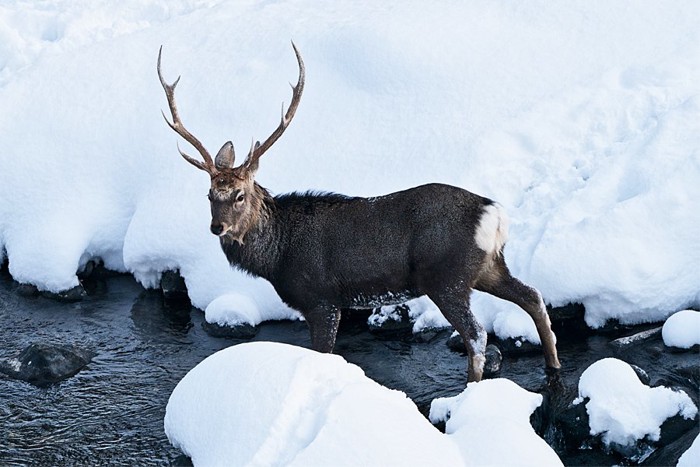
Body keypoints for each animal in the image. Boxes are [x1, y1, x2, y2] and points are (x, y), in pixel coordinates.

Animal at [156, 43, 560, 384]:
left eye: (239, 195)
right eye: (210, 194)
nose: (217, 226)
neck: (277, 255)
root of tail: (494, 214)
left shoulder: (321, 299)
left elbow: (322, 352)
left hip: (447, 276)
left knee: (476, 334)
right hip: (487, 266)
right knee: (532, 296)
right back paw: (553, 366)